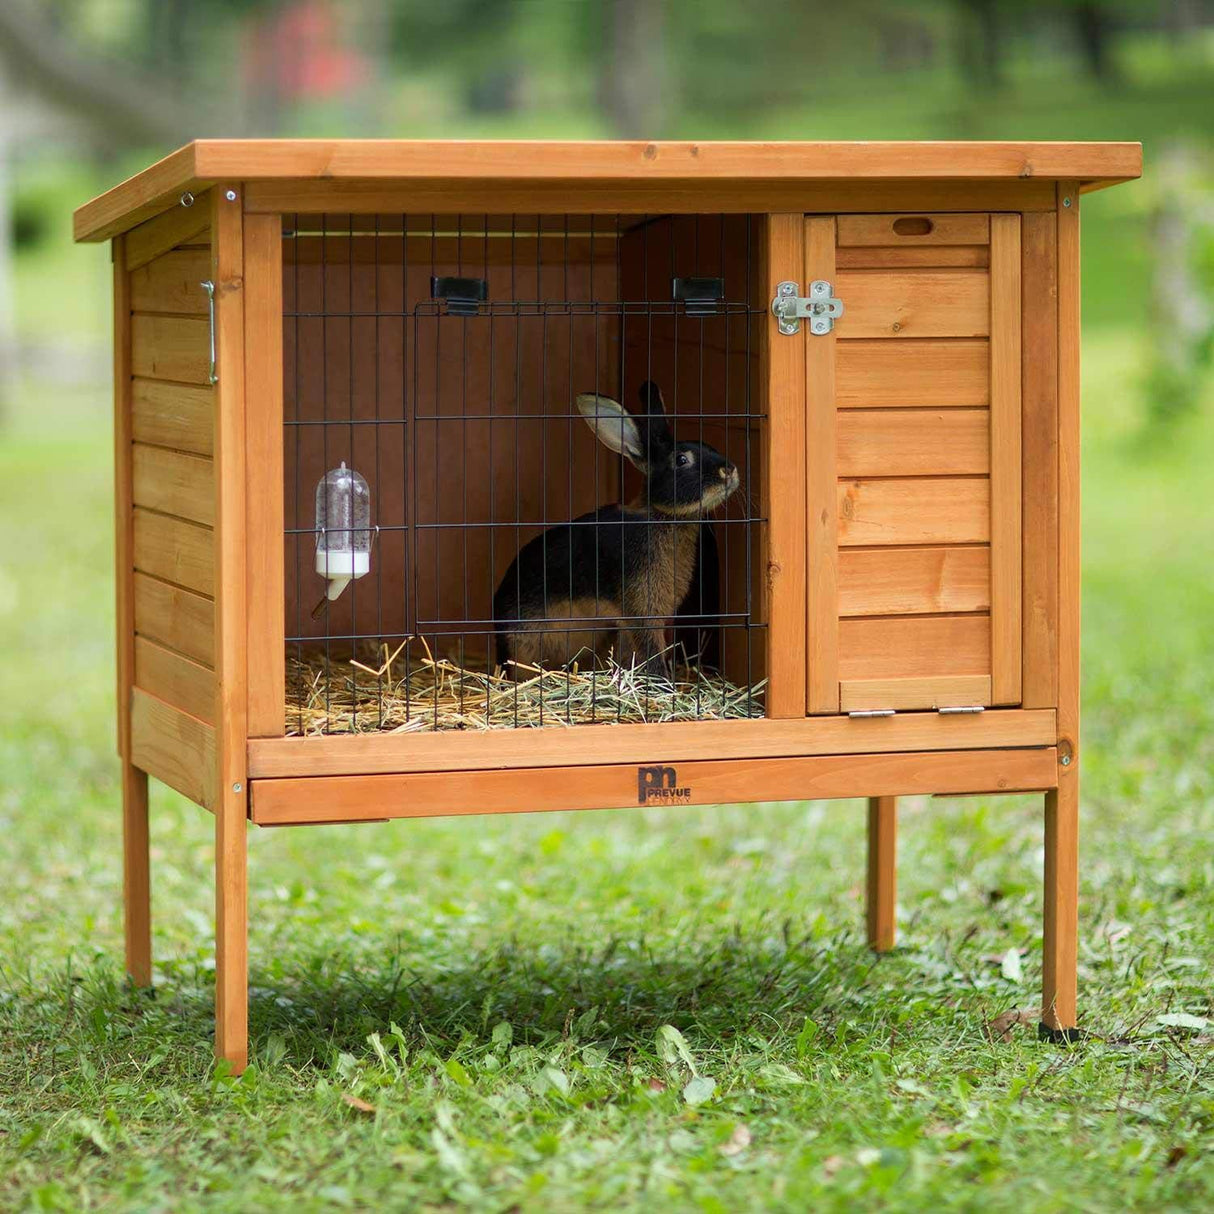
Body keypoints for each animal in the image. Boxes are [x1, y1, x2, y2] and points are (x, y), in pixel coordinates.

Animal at [493, 381, 740, 675]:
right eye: (681, 460)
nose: (729, 470)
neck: (660, 516)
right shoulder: (641, 613)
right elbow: (652, 654)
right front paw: (664, 682)